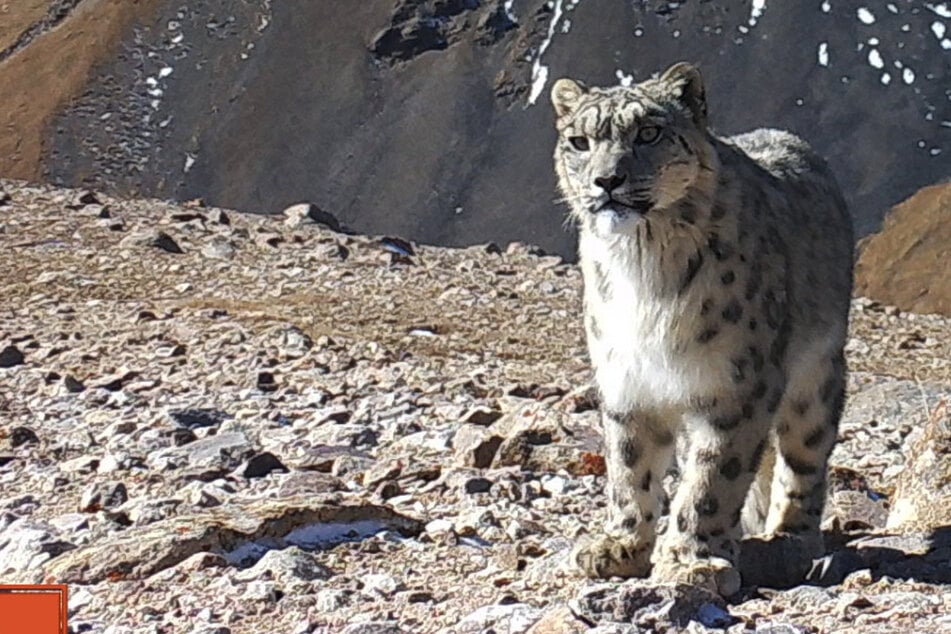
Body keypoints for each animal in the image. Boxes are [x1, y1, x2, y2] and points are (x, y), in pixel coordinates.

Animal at [552, 63, 856, 592]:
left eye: (648, 132)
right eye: (579, 141)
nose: (606, 180)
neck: (641, 266)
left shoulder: (734, 388)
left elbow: (712, 481)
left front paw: (691, 561)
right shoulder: (626, 384)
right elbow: (629, 469)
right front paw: (620, 546)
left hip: (815, 380)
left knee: (804, 461)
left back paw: (786, 542)